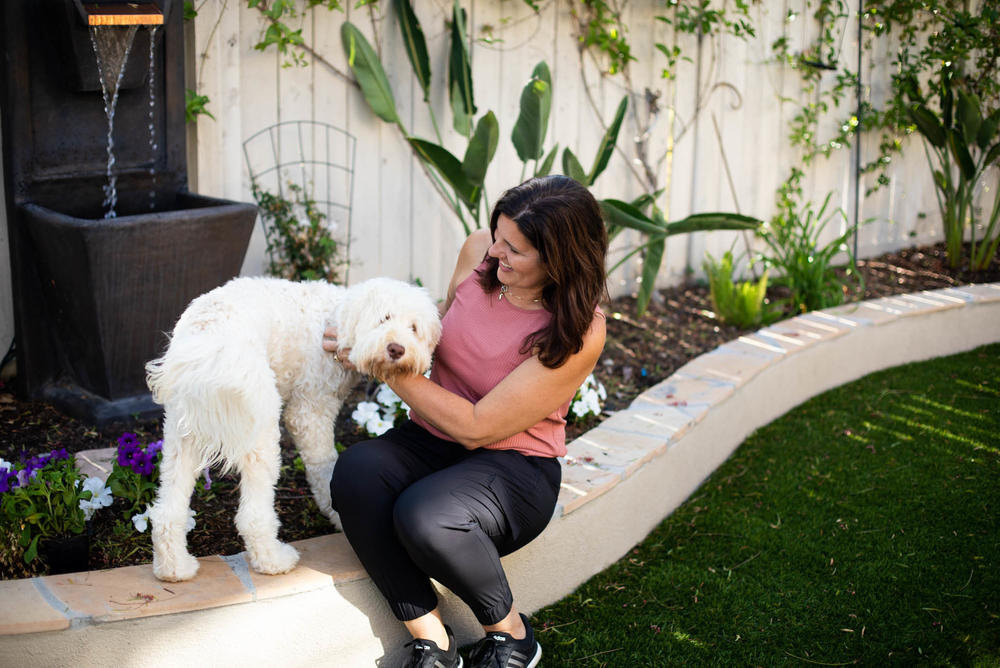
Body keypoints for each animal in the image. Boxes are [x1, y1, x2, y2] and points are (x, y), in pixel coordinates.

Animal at [146, 276, 442, 580]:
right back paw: (273, 561)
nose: (397, 349)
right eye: (384, 318)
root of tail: (207, 340)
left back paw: (174, 568)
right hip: (260, 434)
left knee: (167, 511)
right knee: (252, 516)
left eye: (414, 328)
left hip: (181, 434)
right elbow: (325, 468)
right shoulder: (310, 413)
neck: (336, 318)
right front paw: (338, 515)